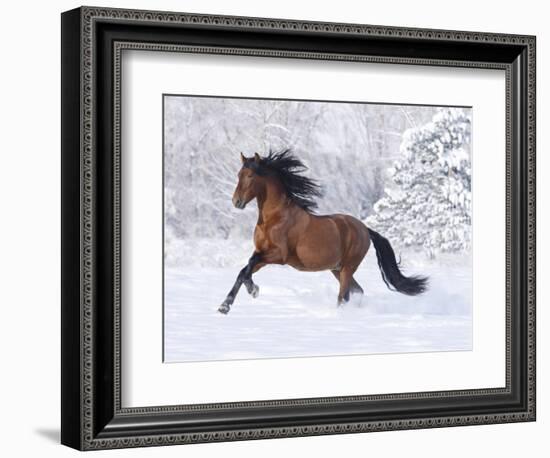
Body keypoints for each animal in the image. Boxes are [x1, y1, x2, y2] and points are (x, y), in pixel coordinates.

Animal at [218, 150, 430, 314]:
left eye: (250, 176)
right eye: (238, 174)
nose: (236, 202)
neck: (275, 217)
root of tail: (364, 229)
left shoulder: (279, 255)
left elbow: (248, 265)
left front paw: (249, 293)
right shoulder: (262, 253)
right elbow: (244, 270)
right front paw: (228, 304)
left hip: (347, 268)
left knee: (344, 295)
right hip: (337, 269)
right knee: (357, 291)